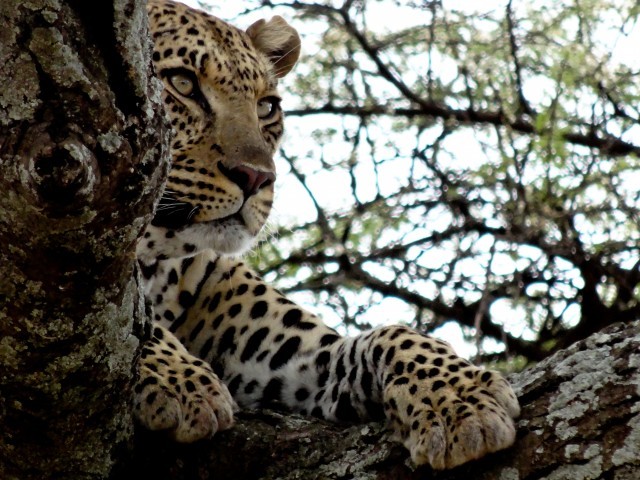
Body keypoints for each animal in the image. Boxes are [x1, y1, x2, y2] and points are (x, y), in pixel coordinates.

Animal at [135, 0, 520, 470]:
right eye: (182, 84)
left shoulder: (295, 361)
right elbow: (141, 326)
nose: (257, 178)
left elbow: (385, 336)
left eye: (266, 107)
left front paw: (458, 396)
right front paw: (179, 382)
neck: (159, 263)